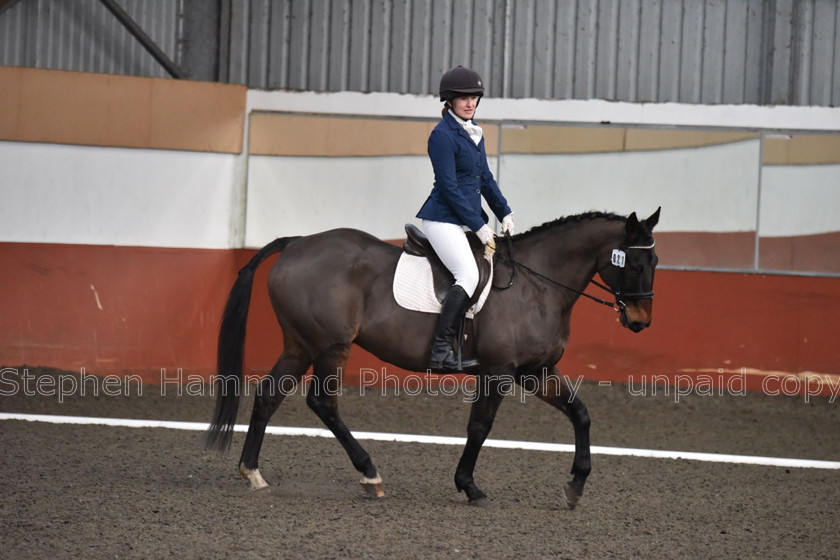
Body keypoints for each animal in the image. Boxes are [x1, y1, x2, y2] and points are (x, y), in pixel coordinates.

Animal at [207, 208, 660, 510]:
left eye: (654, 261)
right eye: (635, 262)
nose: (641, 321)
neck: (537, 285)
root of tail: (297, 242)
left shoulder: (537, 372)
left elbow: (580, 414)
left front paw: (576, 485)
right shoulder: (498, 373)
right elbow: (480, 427)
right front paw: (469, 486)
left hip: (300, 345)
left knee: (269, 395)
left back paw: (253, 473)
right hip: (330, 346)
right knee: (322, 403)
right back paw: (370, 474)